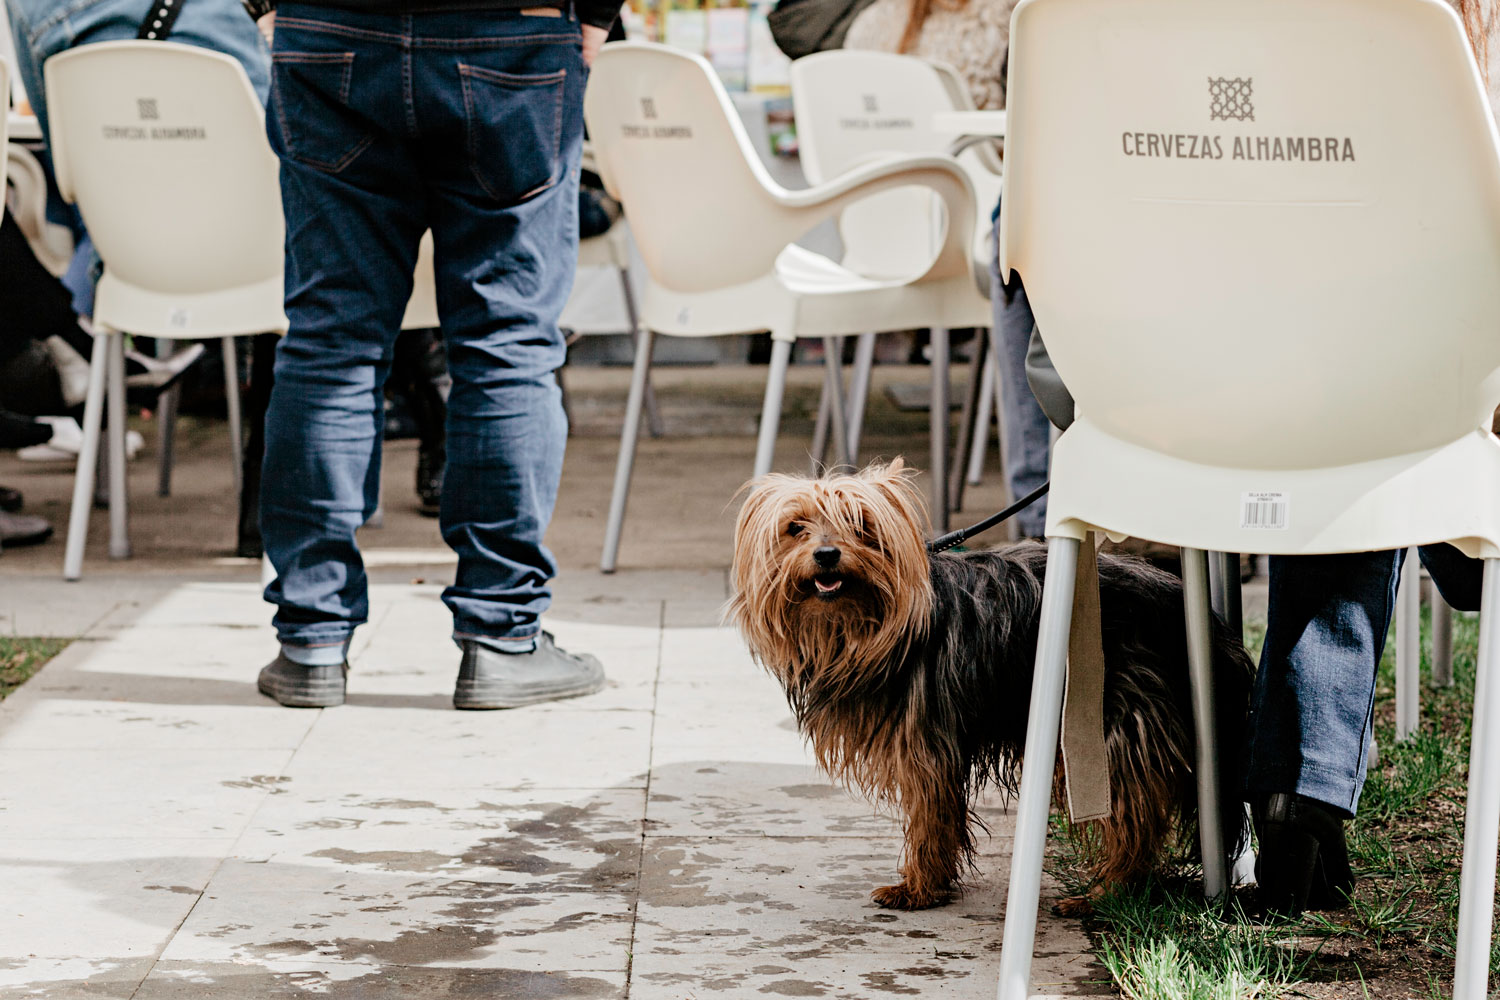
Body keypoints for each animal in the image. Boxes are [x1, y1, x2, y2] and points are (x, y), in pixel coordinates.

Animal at [726, 464, 1254, 917]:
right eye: (795, 527)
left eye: (860, 525)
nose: (827, 554)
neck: (855, 628)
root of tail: (1188, 607)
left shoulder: (926, 741)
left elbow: (930, 814)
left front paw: (919, 887)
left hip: (1111, 721)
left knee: (1131, 817)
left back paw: (1107, 892)